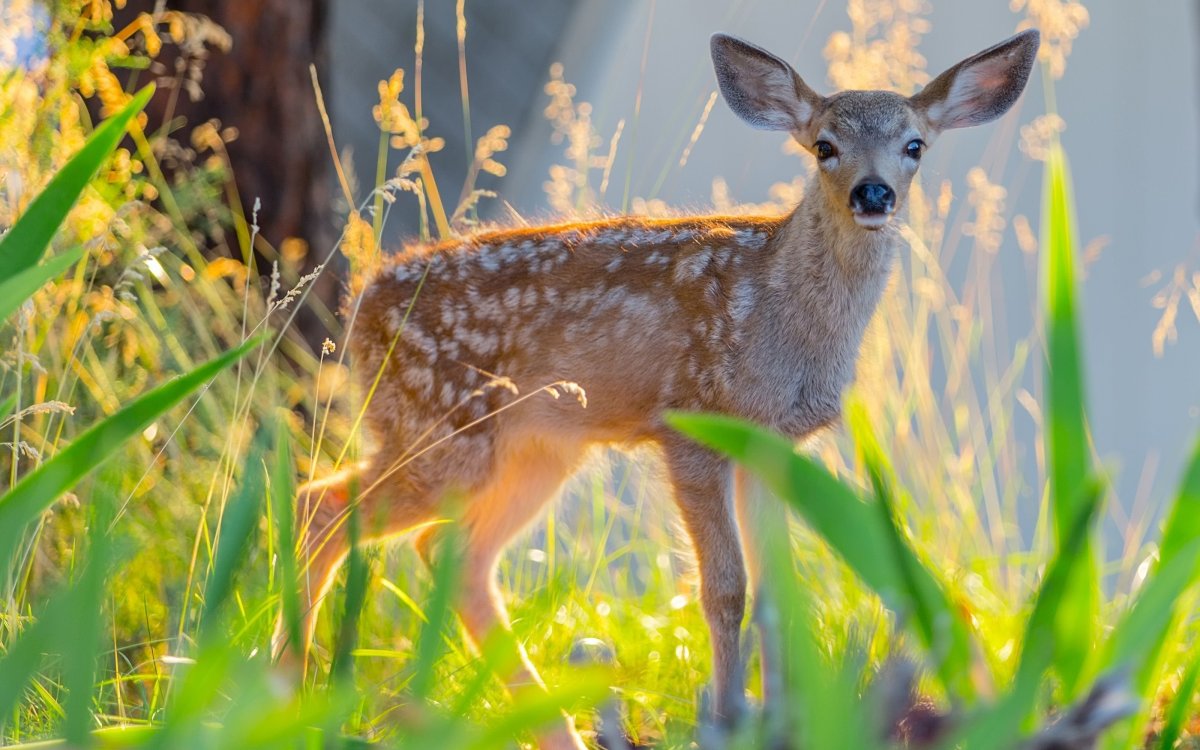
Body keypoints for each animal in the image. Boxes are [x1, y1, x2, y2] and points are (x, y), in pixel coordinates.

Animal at [274, 27, 1041, 748]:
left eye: (915, 146)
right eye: (824, 145)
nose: (873, 193)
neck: (780, 317)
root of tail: (361, 306)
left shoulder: (772, 445)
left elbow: (778, 594)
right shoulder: (690, 422)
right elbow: (725, 589)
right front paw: (728, 718)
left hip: (539, 449)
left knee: (451, 553)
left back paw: (553, 730)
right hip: (440, 430)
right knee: (323, 505)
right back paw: (284, 688)